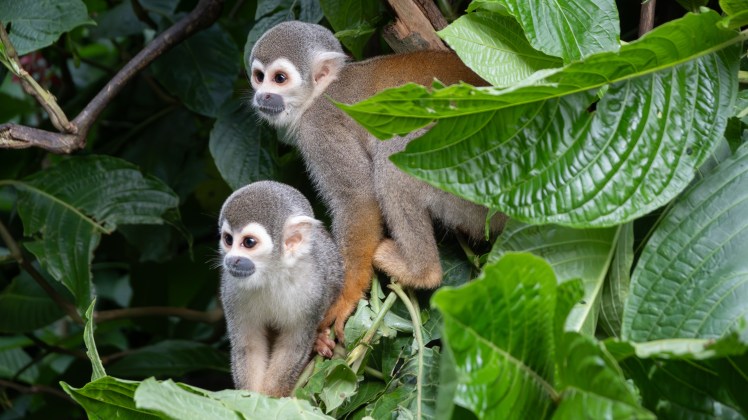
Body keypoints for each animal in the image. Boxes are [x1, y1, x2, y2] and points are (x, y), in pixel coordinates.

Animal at [218, 180, 343, 397]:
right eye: (228, 239)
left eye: (248, 242)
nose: (231, 260)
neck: (272, 274)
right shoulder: (231, 289)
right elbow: (249, 347)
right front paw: (250, 398)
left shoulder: (313, 290)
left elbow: (293, 346)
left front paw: (272, 398)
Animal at [248, 21, 506, 342]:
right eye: (259, 77)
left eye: (280, 78)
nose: (262, 96)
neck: (320, 93)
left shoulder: (319, 127)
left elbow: (358, 198)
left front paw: (344, 297)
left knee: (391, 159)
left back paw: (420, 271)